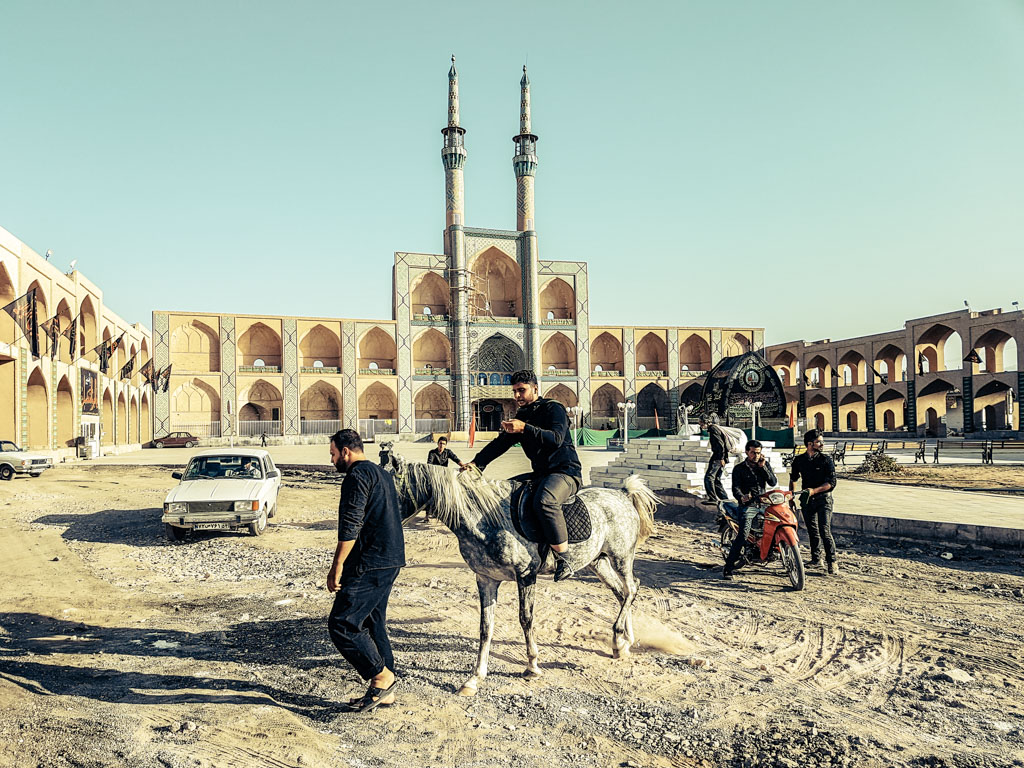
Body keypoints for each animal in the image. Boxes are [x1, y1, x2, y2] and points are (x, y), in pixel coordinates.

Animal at [385, 454, 655, 700]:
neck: (486, 521)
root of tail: (622, 494)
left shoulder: (526, 576)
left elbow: (526, 619)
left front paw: (532, 666)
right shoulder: (485, 579)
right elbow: (485, 627)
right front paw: (474, 678)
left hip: (621, 557)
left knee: (632, 588)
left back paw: (619, 641)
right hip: (598, 562)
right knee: (621, 593)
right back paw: (625, 640)